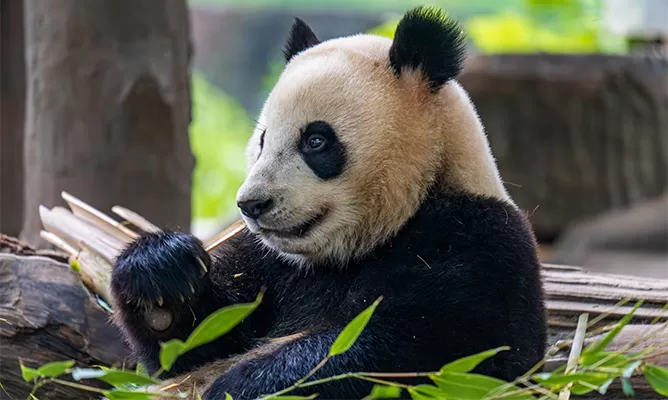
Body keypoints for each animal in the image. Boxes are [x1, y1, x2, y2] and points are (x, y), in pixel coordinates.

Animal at [110, 6, 547, 400]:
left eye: (316, 141)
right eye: (263, 140)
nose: (252, 204)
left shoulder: (477, 242)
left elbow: (421, 348)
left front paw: (244, 384)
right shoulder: (269, 263)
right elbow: (197, 341)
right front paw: (159, 271)